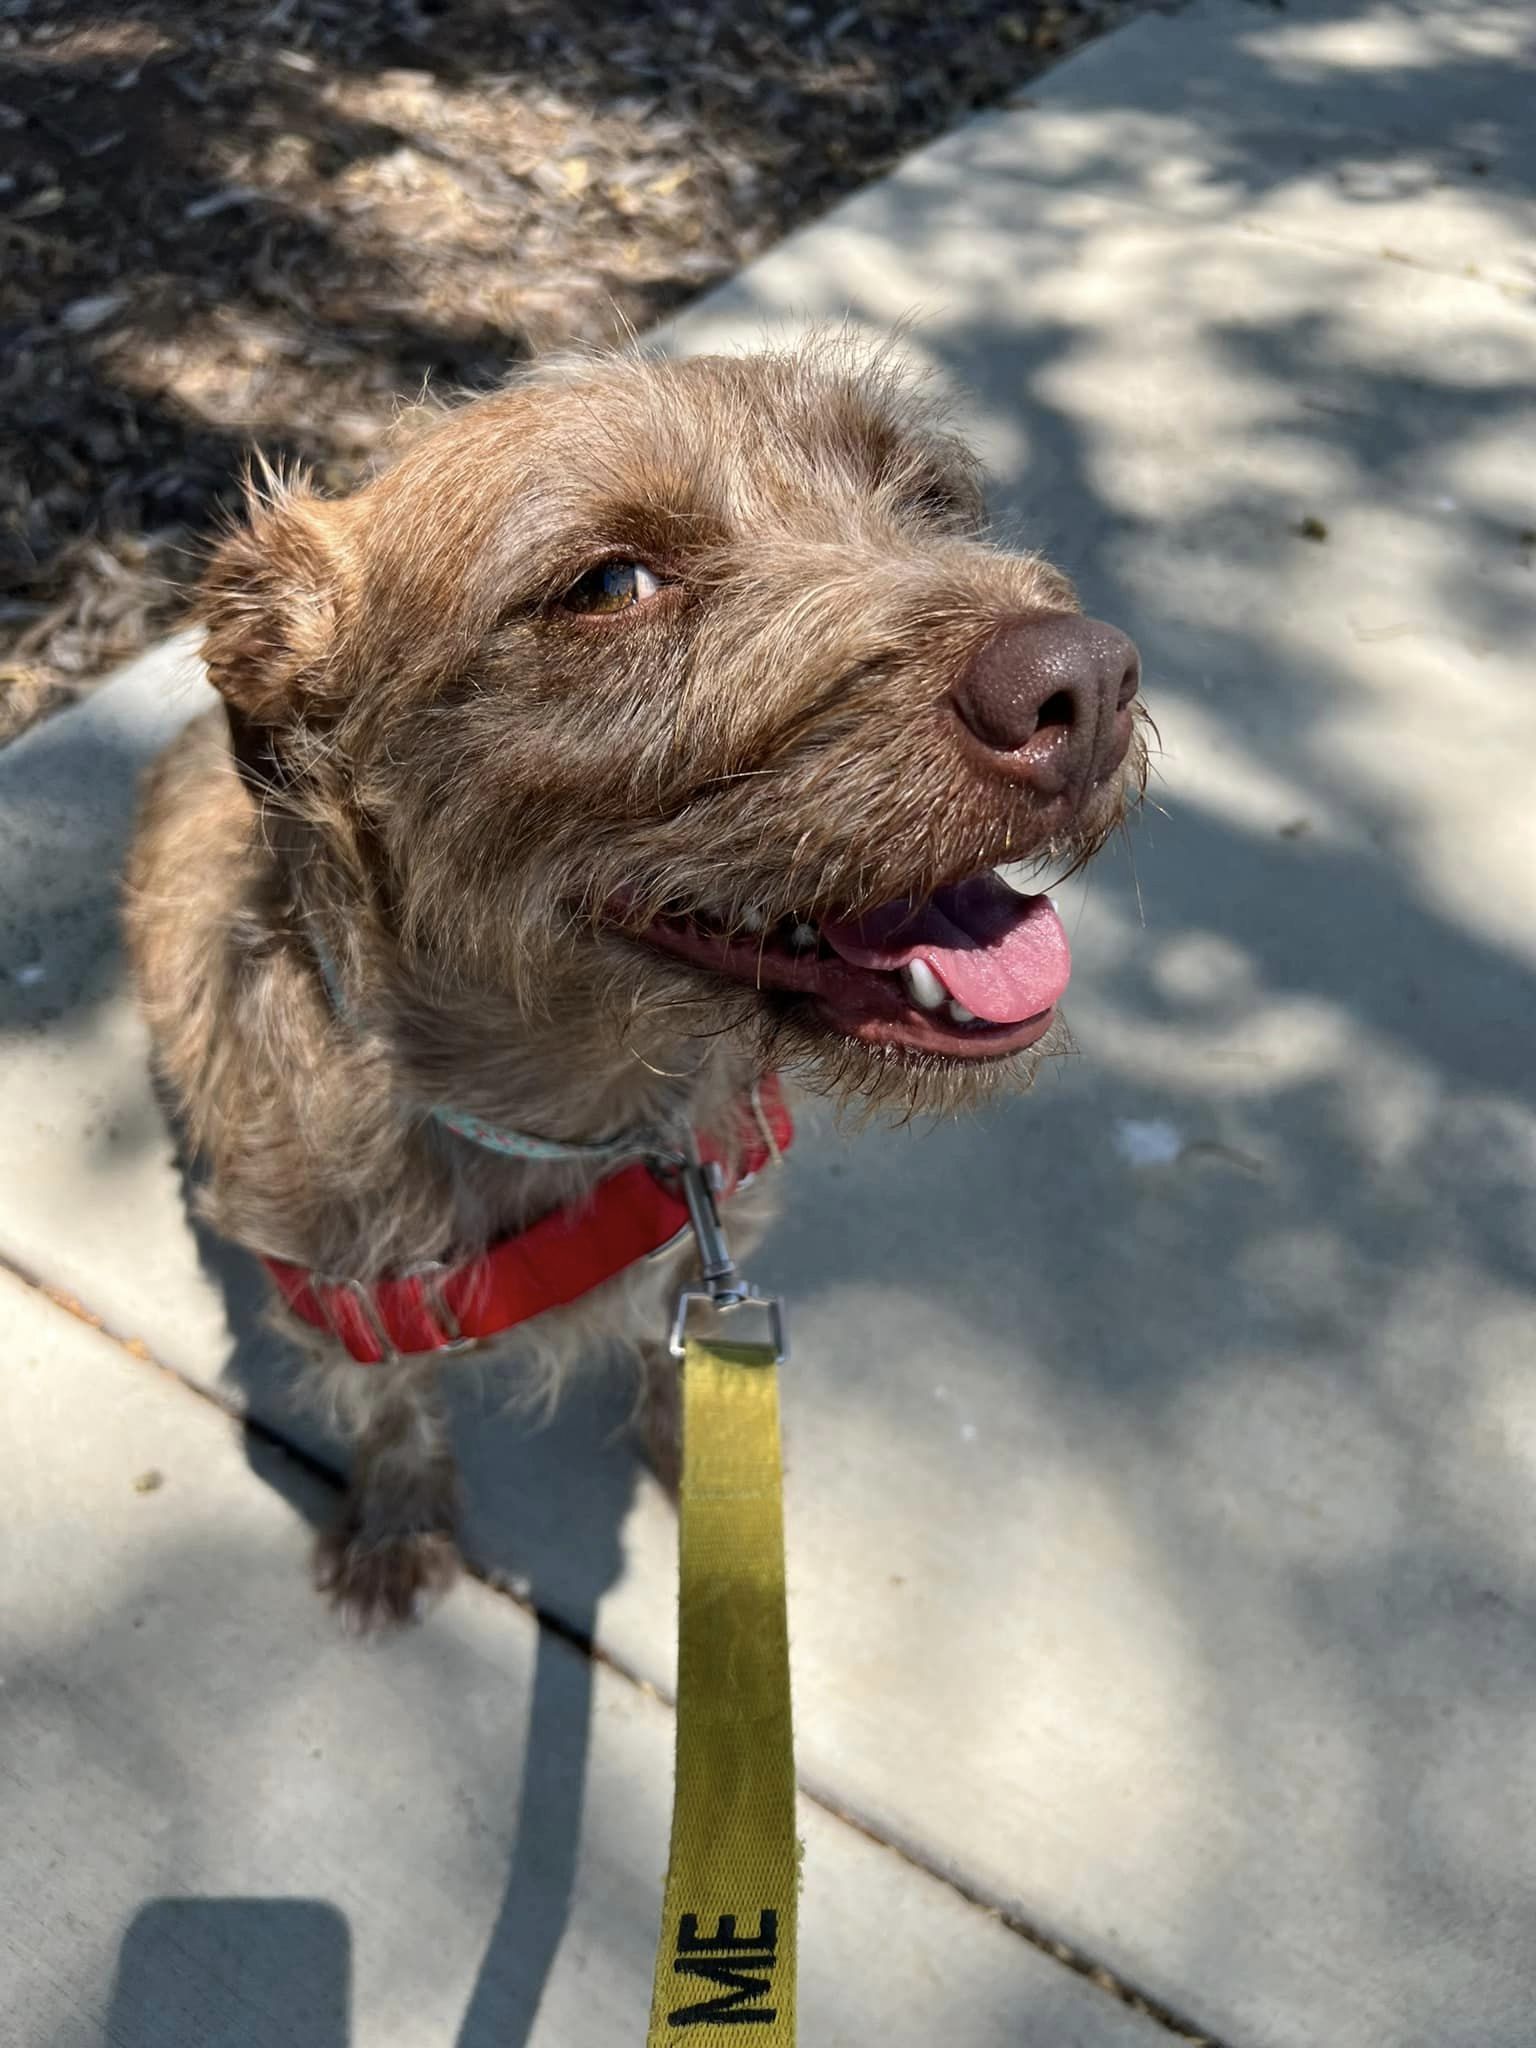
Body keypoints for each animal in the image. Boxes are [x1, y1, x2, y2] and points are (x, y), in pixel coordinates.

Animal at [126, 348, 1146, 1630]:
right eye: (609, 585)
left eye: (929, 500)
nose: (1089, 683)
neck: (576, 1106)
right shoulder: (347, 1298)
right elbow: (391, 1402)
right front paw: (400, 1519)